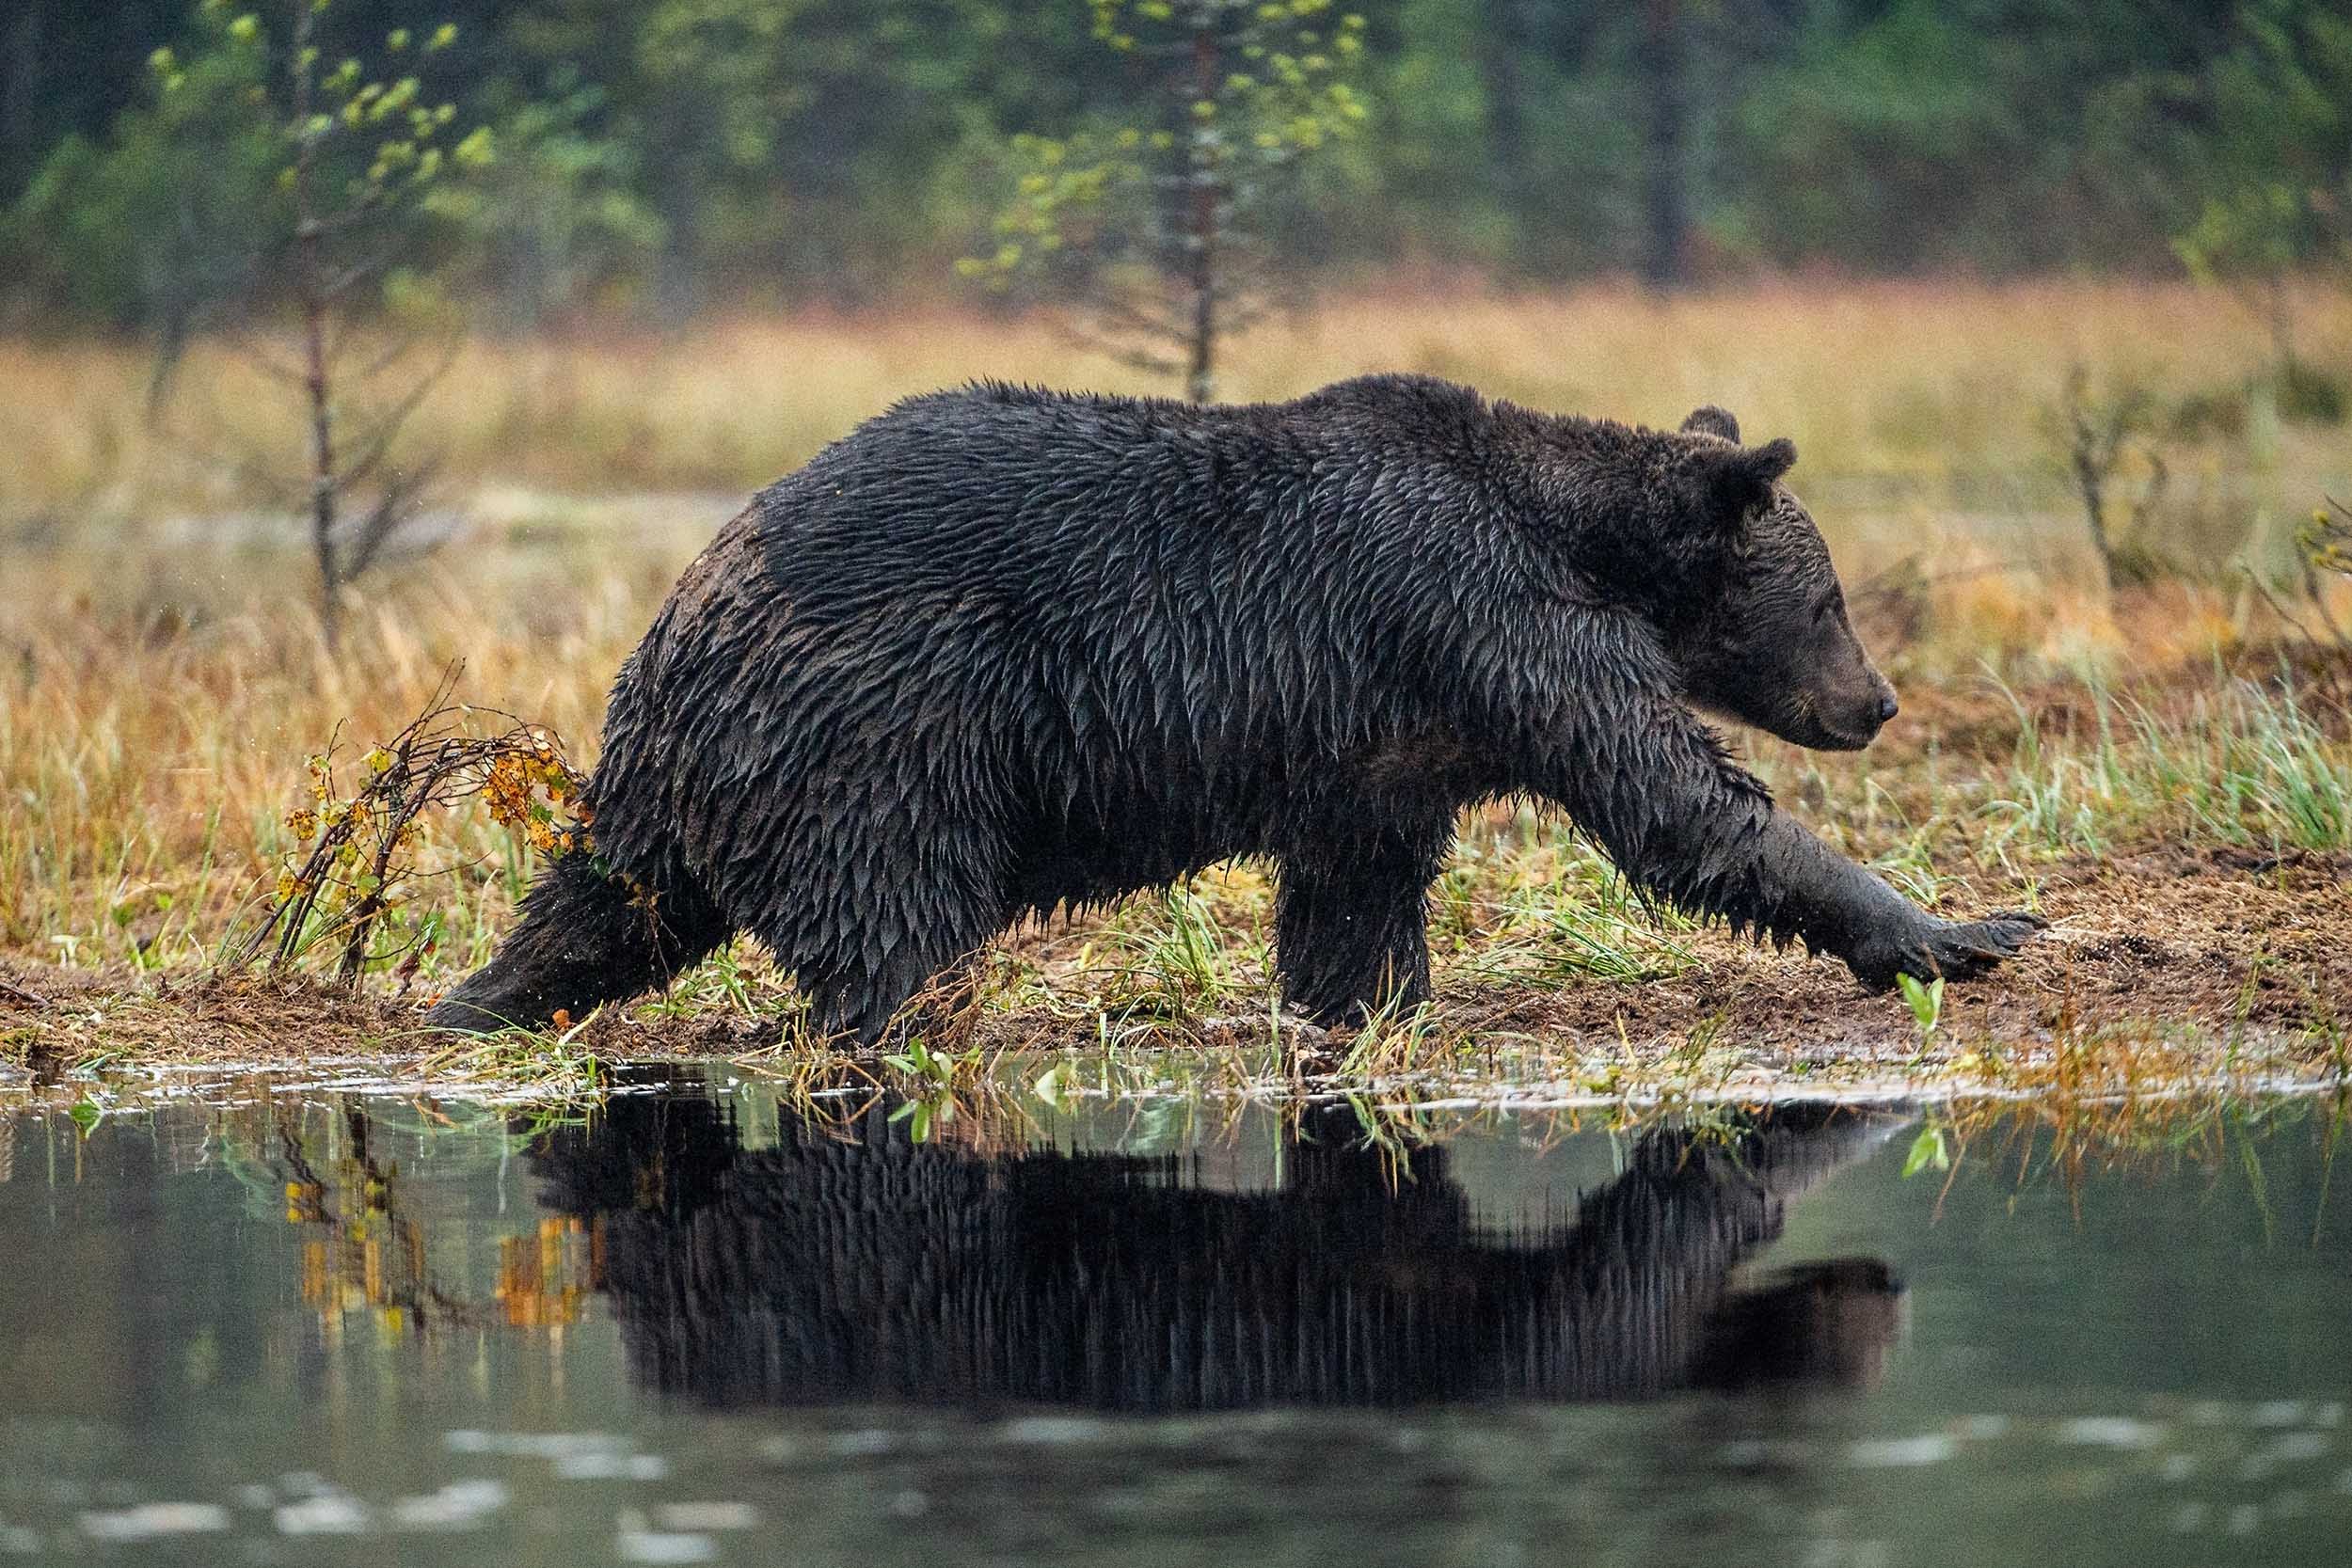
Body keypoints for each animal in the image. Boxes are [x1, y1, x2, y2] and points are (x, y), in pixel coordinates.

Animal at [429, 374, 2041, 1043]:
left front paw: (1368, 1005)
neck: (1573, 537)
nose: (1877, 700)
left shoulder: (1386, 730)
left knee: (600, 903)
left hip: (678, 773)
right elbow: (1677, 801)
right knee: (894, 923)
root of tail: (687, 613)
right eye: (1827, 596)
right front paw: (1960, 925)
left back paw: (472, 999)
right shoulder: (1477, 616)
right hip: (887, 725)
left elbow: (1355, 894)